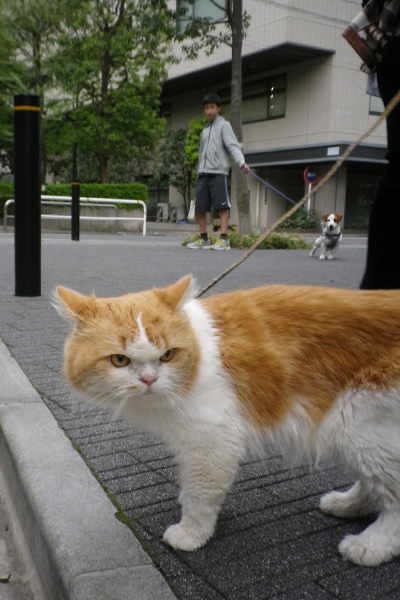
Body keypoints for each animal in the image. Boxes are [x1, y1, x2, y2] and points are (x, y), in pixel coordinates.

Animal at [57, 276, 400, 568]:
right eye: (119, 360)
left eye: (167, 355)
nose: (149, 379)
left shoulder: (213, 441)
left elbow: (200, 495)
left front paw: (192, 533)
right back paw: (348, 504)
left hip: (356, 425)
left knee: (393, 498)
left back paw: (371, 545)